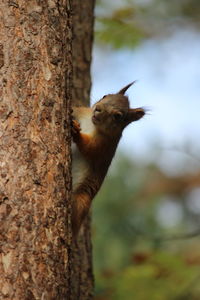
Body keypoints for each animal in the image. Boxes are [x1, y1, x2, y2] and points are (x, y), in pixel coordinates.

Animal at [71, 82, 145, 237]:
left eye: (117, 116)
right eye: (105, 96)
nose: (98, 108)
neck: (92, 123)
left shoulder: (106, 145)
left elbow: (90, 149)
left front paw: (77, 133)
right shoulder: (83, 112)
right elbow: (75, 109)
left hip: (81, 199)